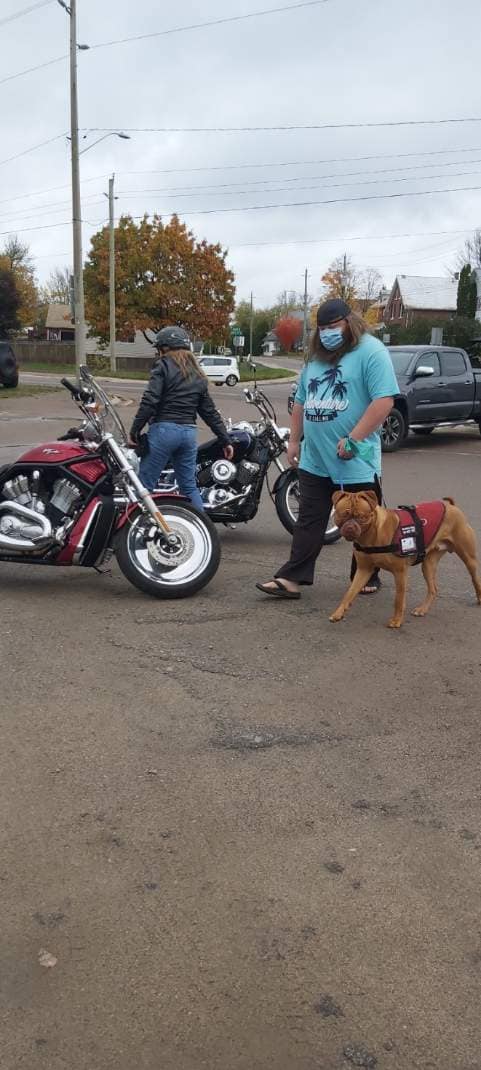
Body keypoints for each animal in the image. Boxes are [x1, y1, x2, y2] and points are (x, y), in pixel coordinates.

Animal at [331, 490, 481, 629]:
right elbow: (349, 593)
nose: (350, 528)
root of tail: (451, 506)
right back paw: (422, 609)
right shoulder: (363, 570)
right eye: (342, 515)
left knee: (475, 578)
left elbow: (399, 599)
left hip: (469, 558)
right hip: (428, 564)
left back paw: (479, 598)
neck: (372, 534)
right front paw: (338, 612)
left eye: (362, 517)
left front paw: (397, 620)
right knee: (433, 588)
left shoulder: (400, 572)